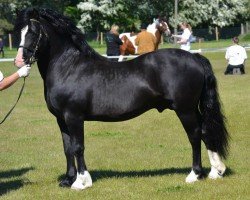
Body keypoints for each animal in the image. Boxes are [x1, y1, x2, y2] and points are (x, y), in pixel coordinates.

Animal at [13, 7, 229, 189]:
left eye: (33, 31)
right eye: (19, 32)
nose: (19, 61)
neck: (69, 67)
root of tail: (194, 58)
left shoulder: (74, 117)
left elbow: (78, 147)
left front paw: (81, 182)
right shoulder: (61, 119)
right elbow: (67, 148)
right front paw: (68, 180)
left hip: (185, 110)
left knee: (195, 135)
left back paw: (195, 174)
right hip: (192, 109)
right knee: (205, 131)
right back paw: (216, 171)